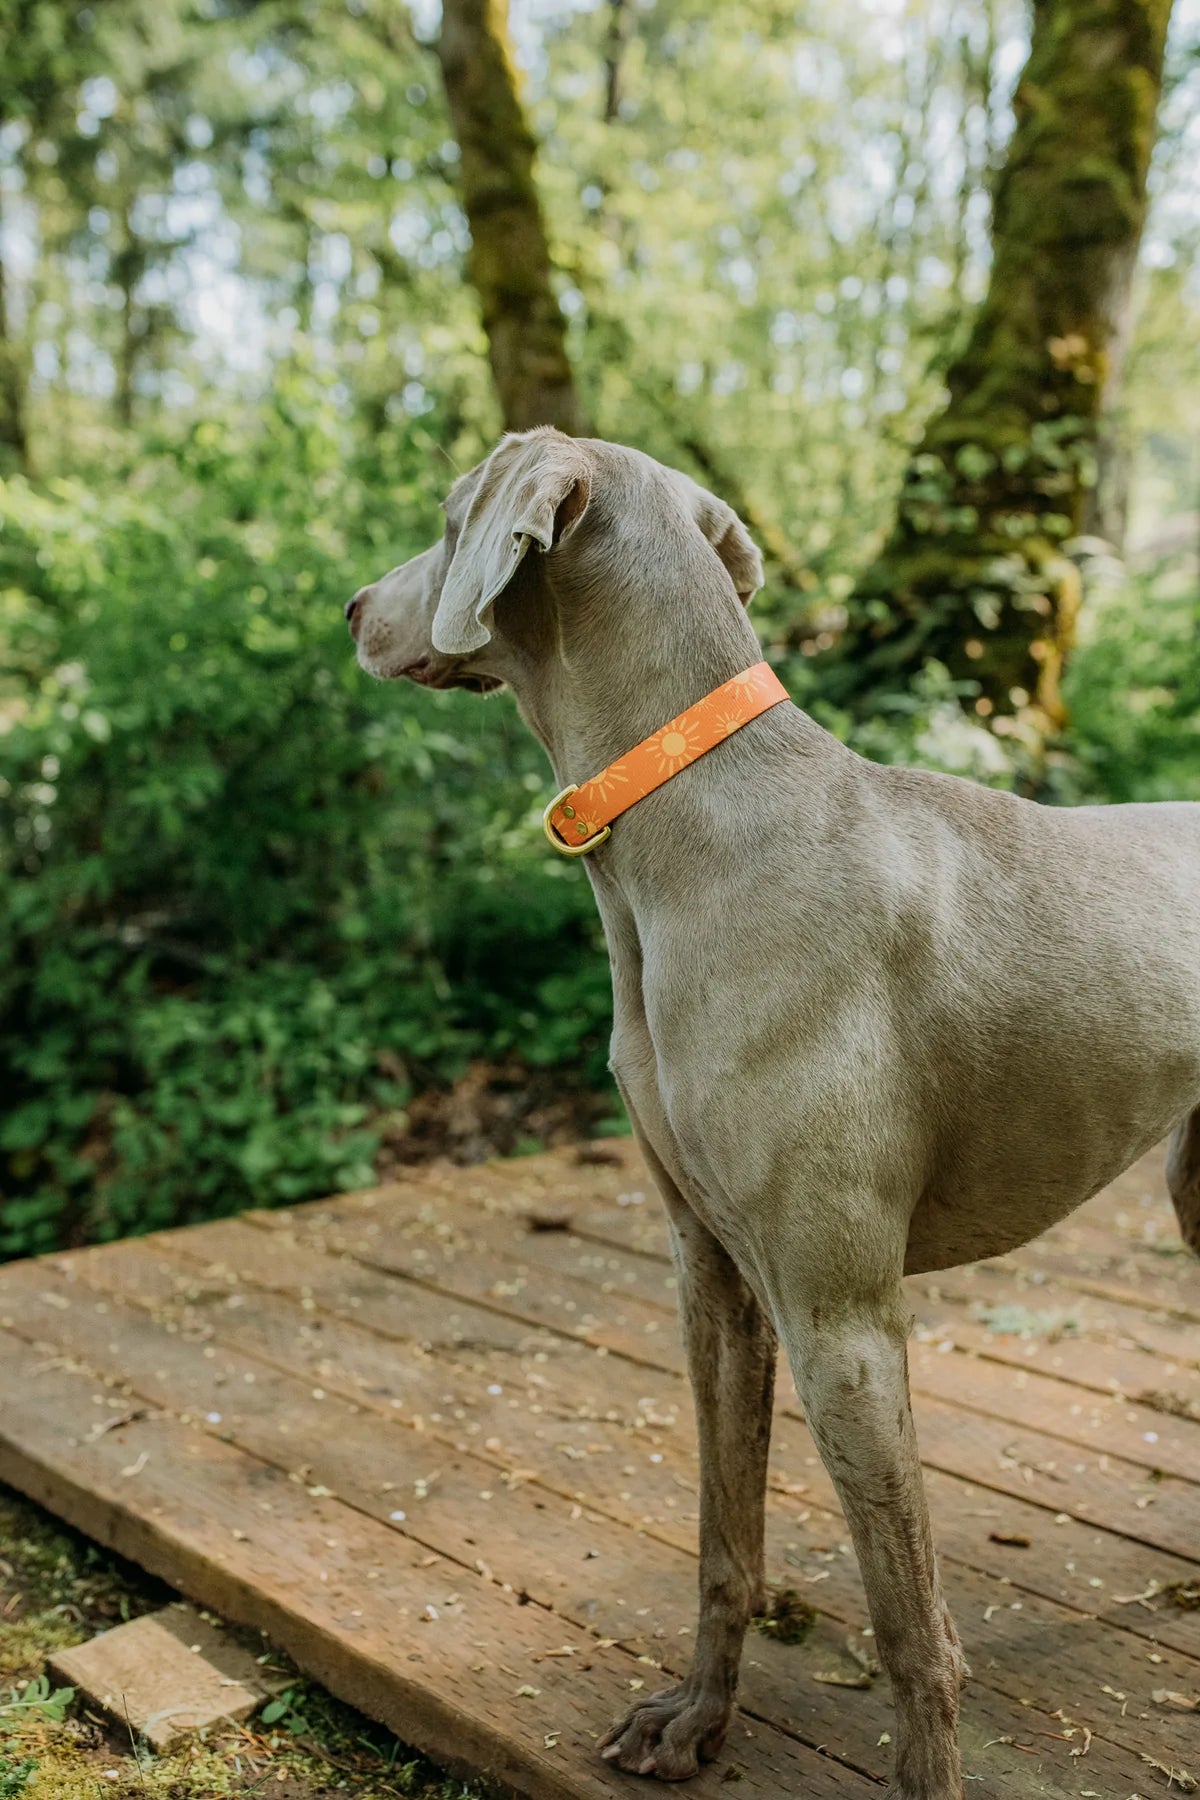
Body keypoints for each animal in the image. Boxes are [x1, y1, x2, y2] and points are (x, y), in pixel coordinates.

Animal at [345, 432, 1200, 1800]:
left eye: (445, 517)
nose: (354, 609)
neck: (689, 829)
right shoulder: (714, 1276)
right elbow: (723, 1540)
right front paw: (697, 1720)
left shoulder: (842, 1318)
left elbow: (911, 1630)